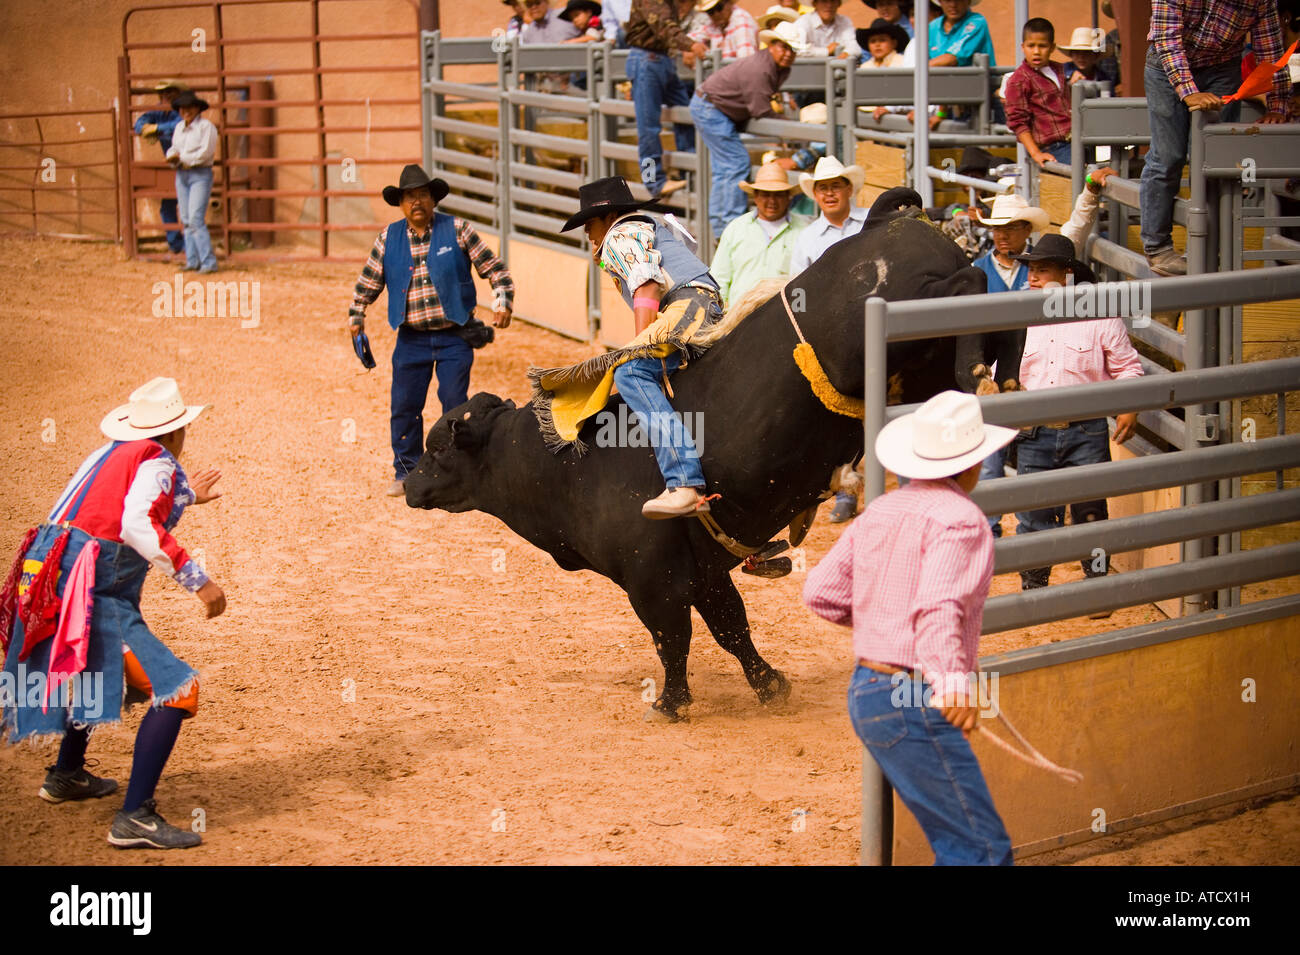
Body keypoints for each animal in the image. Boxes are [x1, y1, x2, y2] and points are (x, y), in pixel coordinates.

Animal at [403, 209, 1003, 717]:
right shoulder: (706, 574)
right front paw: (771, 685)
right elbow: (731, 628)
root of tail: (897, 220)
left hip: (903, 313)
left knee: (967, 285)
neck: (564, 465)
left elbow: (672, 640)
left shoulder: (653, 580)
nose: (407, 483)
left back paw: (981, 370)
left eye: (438, 448)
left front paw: (671, 703)